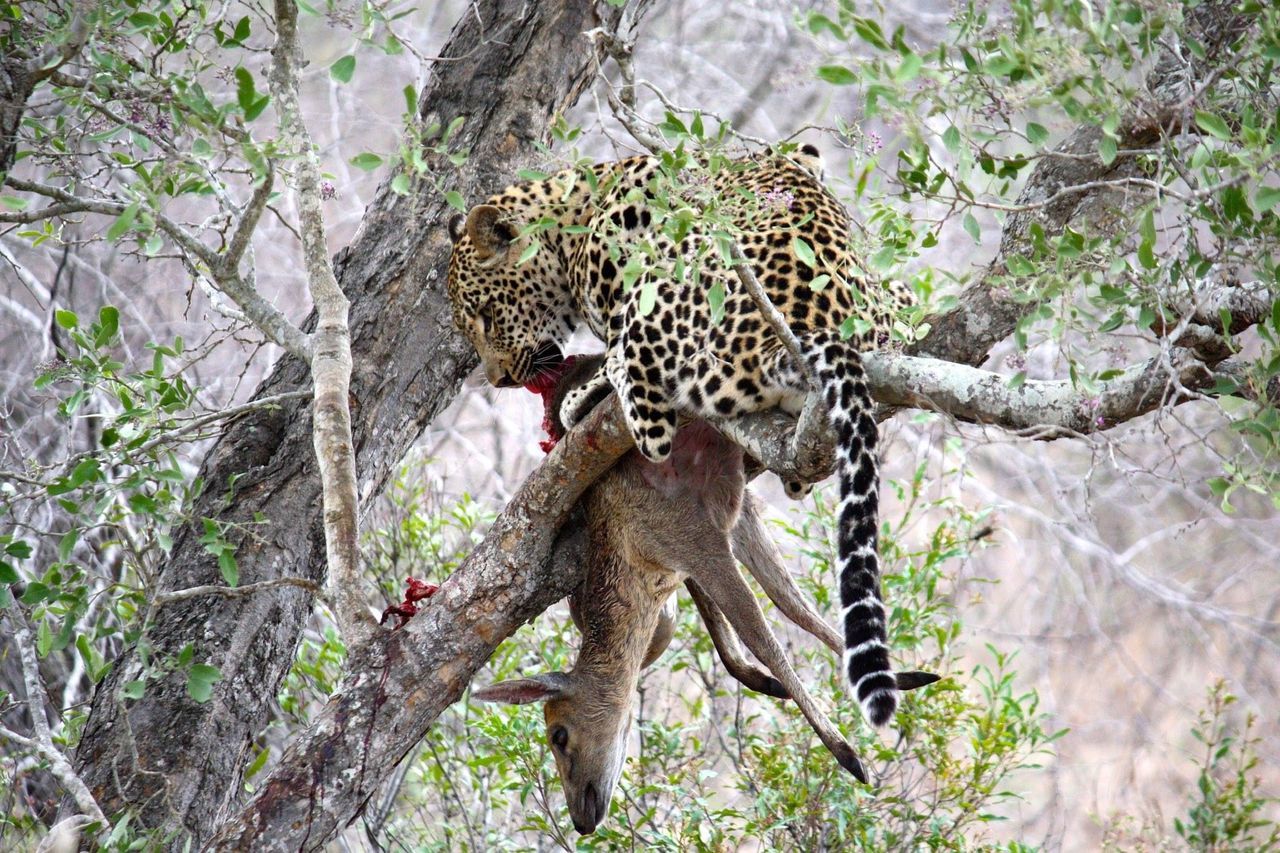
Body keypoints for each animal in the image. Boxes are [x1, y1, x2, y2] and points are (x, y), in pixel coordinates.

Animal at [450, 144, 911, 722]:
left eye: (487, 316)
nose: (499, 379)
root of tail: (803, 331)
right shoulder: (803, 156)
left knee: (650, 415)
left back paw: (586, 400)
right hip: (887, 307)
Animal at [476, 356, 936, 829]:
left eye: (558, 734)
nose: (582, 820)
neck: (641, 567)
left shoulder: (695, 537)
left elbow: (761, 631)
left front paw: (850, 755)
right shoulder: (731, 517)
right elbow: (787, 604)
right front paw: (905, 677)